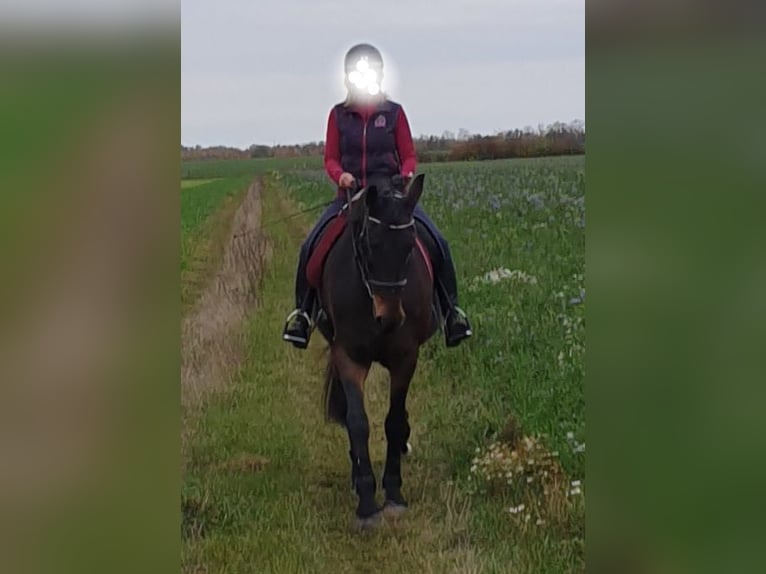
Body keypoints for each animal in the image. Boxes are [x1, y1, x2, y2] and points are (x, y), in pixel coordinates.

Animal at [316, 174, 438, 532]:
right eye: (371, 244)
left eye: (410, 245)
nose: (390, 318)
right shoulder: (348, 356)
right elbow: (357, 422)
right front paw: (367, 502)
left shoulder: (405, 358)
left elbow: (394, 421)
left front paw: (394, 494)